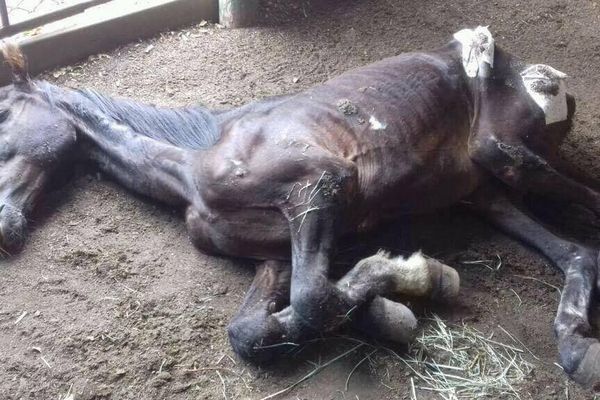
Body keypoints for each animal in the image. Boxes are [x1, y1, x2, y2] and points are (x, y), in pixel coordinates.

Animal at [1, 27, 600, 388]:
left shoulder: (320, 186)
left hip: (507, 156)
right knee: (578, 253)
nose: (5, 229)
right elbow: (255, 328)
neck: (192, 167)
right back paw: (576, 346)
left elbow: (312, 299)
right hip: (484, 191)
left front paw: (413, 276)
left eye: (3, 117)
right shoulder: (274, 255)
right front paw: (390, 308)